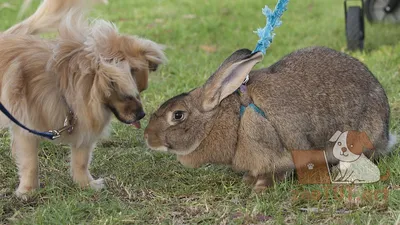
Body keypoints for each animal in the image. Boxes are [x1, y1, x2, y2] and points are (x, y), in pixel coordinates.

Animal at [0, 0, 166, 198]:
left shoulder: (83, 127)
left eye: (141, 91)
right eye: (127, 94)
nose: (142, 115)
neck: (65, 87)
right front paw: (28, 191)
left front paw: (85, 184)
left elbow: (81, 160)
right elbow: (30, 163)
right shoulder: (26, 129)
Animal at [143, 46, 394, 191]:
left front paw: (260, 187)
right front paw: (248, 180)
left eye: (178, 115)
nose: (147, 137)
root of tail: (385, 134)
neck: (234, 119)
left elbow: (278, 170)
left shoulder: (273, 150)